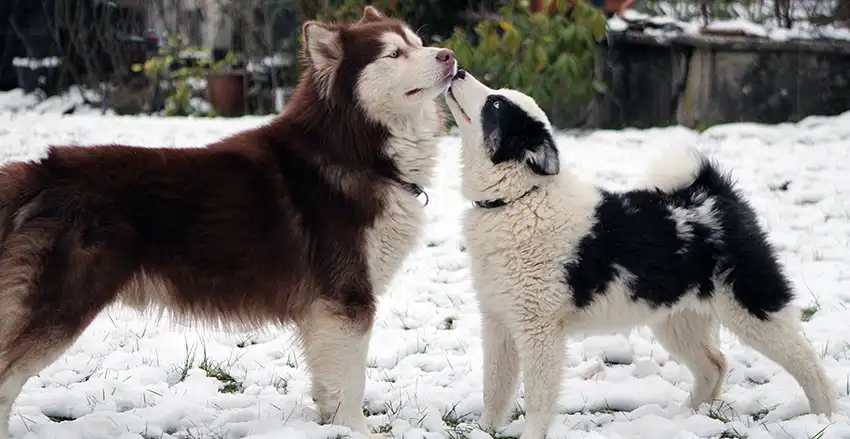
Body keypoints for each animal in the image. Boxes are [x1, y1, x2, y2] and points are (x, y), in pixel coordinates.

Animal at [444, 70, 836, 438]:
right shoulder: (498, 321)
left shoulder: (538, 330)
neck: (518, 199)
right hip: (677, 318)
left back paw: (824, 416)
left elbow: (538, 395)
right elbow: (495, 387)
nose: (458, 71)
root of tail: (712, 193)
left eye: (495, 104)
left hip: (752, 305)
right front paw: (485, 431)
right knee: (714, 365)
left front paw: (531, 434)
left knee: (807, 361)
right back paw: (689, 415)